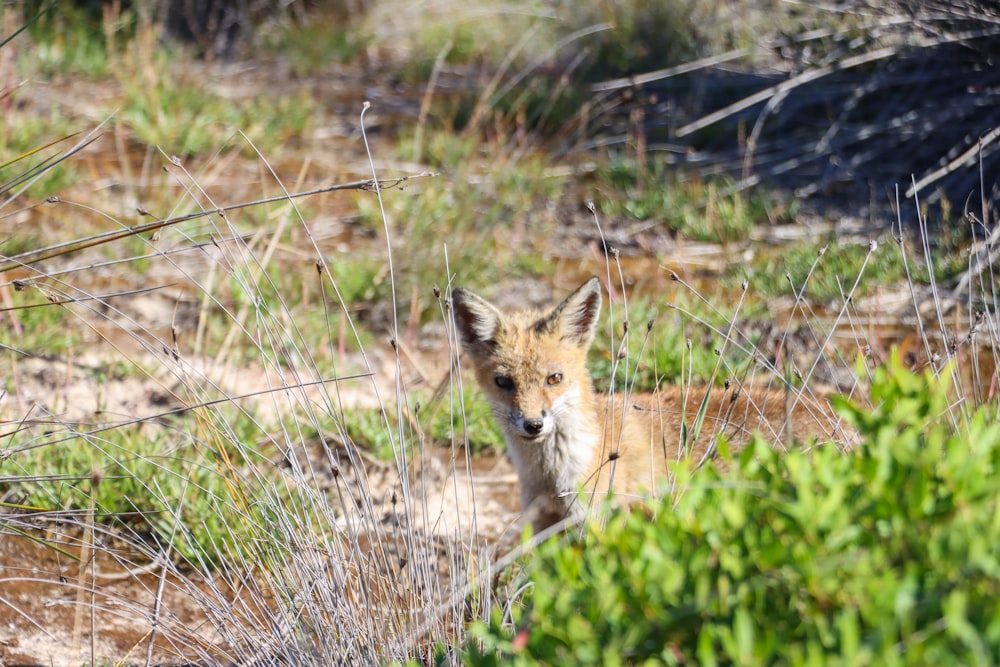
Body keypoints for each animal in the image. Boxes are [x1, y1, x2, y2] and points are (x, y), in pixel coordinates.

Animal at [454, 276, 852, 532]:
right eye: (504, 382)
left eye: (554, 378)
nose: (533, 424)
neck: (552, 476)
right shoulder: (544, 527)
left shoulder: (600, 525)